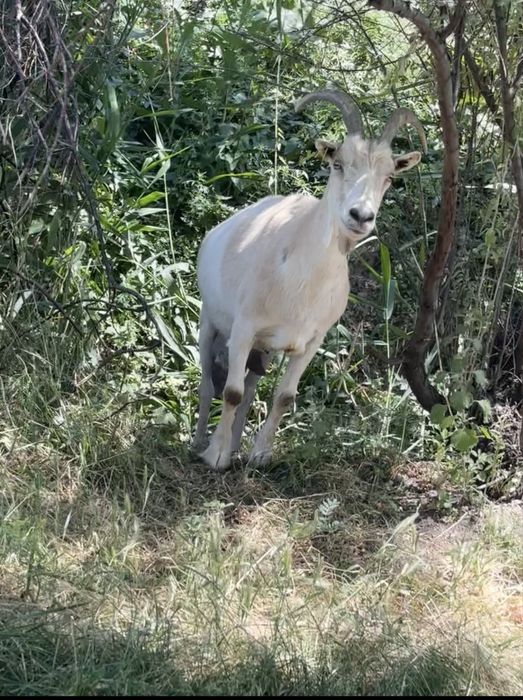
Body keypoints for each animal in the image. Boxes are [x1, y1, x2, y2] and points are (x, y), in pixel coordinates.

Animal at [193, 88, 426, 470]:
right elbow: (231, 391)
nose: (361, 215)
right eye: (338, 164)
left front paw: (260, 455)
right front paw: (215, 456)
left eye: (389, 176)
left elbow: (283, 396)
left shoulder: (312, 340)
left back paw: (237, 446)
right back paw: (200, 442)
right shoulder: (243, 329)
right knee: (208, 385)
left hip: (262, 350)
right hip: (210, 322)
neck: (301, 282)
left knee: (251, 387)